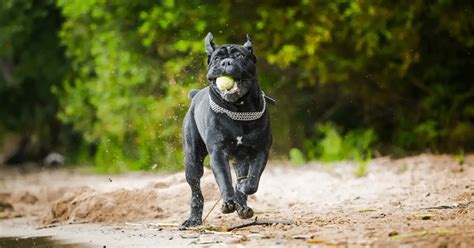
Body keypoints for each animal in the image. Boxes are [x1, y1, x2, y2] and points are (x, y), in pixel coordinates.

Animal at [180, 33, 272, 229]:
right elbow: (224, 179)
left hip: (240, 160)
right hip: (192, 161)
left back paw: (242, 206)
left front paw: (242, 190)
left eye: (240, 56)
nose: (226, 62)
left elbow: (252, 180)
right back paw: (194, 219)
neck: (239, 109)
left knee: (241, 179)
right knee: (196, 191)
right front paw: (228, 202)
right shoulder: (218, 152)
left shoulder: (260, 151)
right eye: (216, 58)